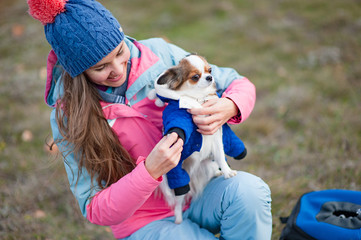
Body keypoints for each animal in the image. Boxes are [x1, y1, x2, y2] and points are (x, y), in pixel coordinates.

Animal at [150, 54, 242, 223]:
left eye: (210, 70)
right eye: (195, 77)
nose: (210, 77)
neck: (199, 100)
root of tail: (193, 175)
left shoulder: (216, 136)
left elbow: (221, 156)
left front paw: (227, 171)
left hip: (208, 164)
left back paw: (218, 172)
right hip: (181, 180)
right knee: (178, 202)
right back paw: (178, 218)